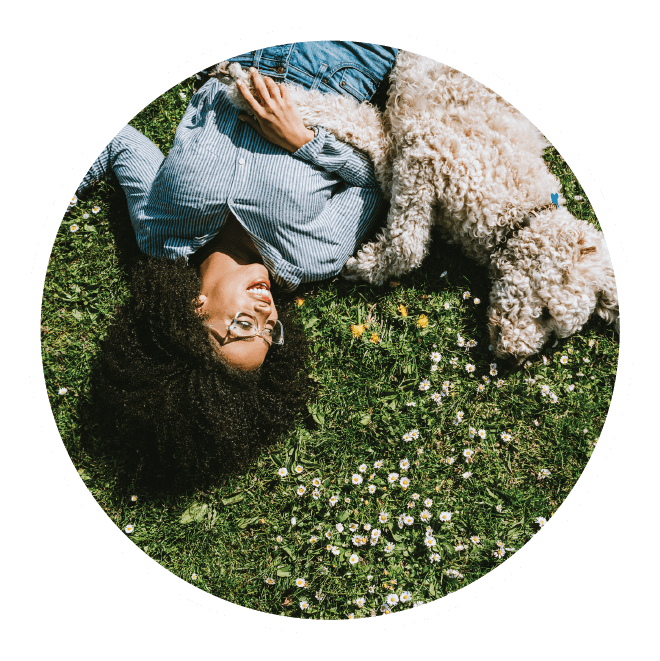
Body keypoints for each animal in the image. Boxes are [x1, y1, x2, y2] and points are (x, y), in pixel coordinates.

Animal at [209, 49, 616, 364]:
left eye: (555, 332)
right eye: (545, 313)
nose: (513, 359)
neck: (518, 211)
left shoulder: (403, 151)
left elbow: (365, 131)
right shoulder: (428, 154)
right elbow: (408, 245)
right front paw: (368, 265)